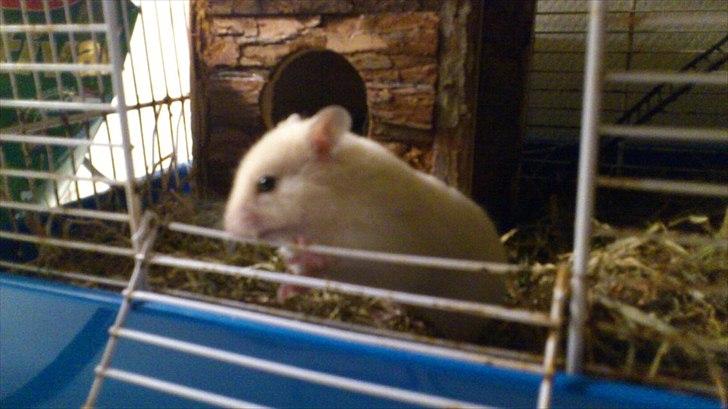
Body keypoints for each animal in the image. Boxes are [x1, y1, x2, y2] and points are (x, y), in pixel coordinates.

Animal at [224, 105, 508, 342]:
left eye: (266, 183)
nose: (230, 228)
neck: (322, 211)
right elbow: (304, 274)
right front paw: (283, 291)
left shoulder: (372, 247)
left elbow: (330, 260)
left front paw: (302, 255)